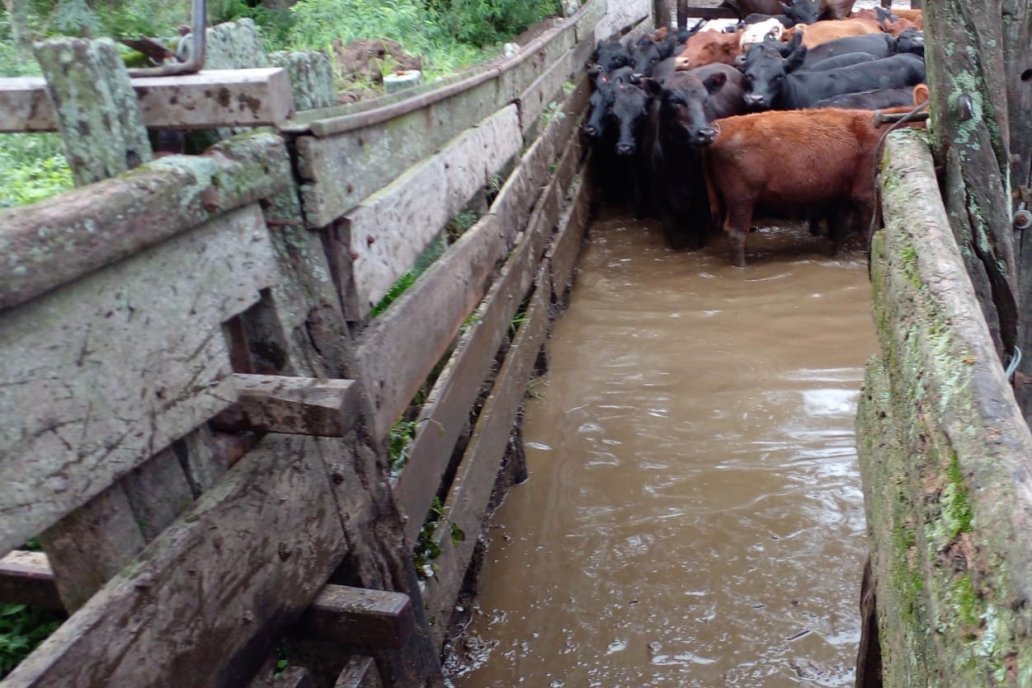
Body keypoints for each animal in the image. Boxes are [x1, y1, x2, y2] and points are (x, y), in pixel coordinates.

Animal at [701, 107, 920, 266]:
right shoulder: (865, 193)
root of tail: (719, 126)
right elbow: (869, 231)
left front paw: (838, 256)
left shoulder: (843, 195)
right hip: (742, 196)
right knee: (736, 232)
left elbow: (841, 229)